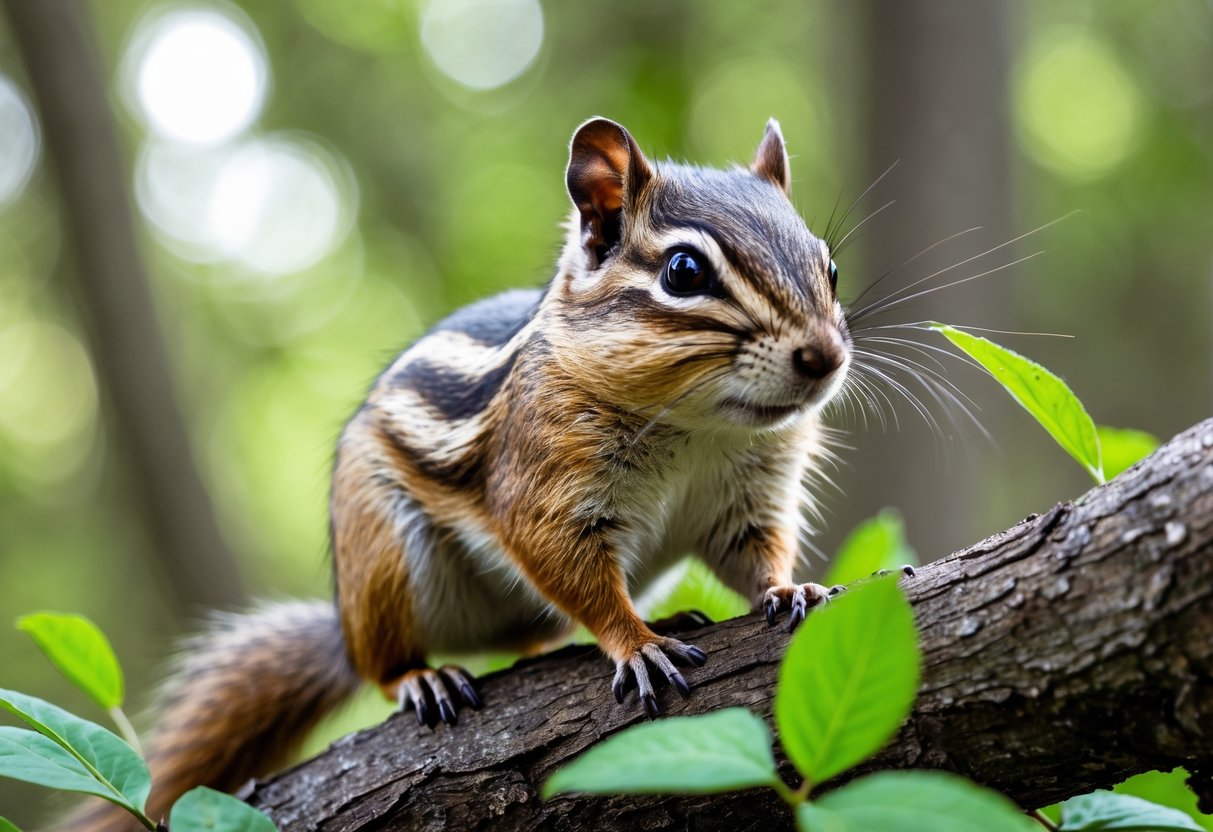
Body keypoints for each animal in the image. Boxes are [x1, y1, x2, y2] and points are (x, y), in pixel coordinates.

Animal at [70, 117, 851, 831]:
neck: (699, 429)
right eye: (684, 272)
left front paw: (789, 589)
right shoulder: (543, 488)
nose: (825, 355)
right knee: (382, 667)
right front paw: (638, 642)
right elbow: (571, 570)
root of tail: (345, 628)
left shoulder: (749, 496)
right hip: (382, 556)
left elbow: (754, 553)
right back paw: (426, 676)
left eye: (829, 268)